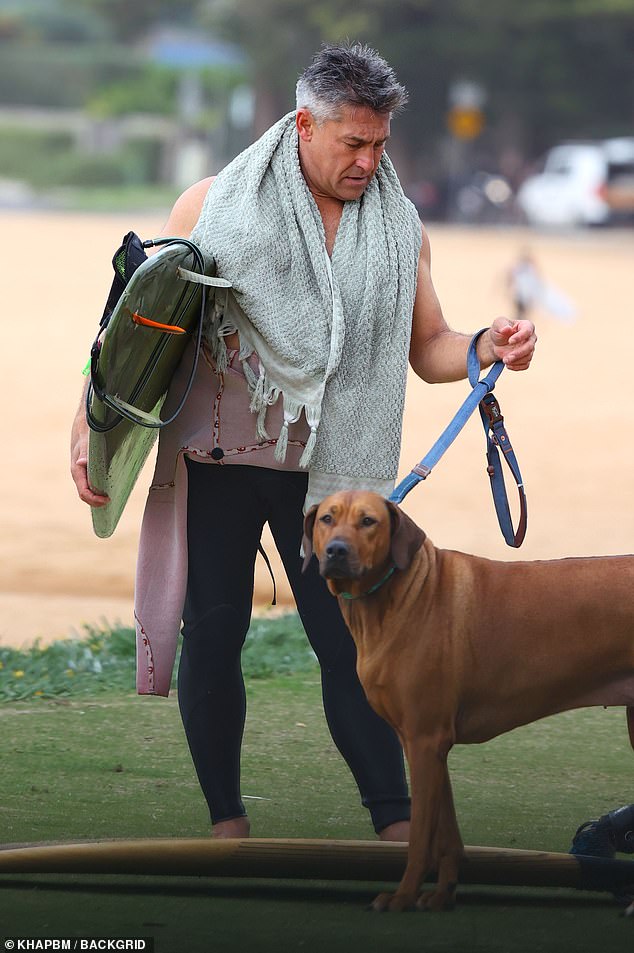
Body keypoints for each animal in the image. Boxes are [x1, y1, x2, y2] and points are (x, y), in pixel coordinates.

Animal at [302, 494, 632, 912]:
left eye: (368, 521)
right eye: (327, 519)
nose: (336, 551)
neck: (400, 595)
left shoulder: (424, 740)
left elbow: (420, 838)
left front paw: (403, 896)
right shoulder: (429, 744)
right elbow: (446, 835)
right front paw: (441, 895)